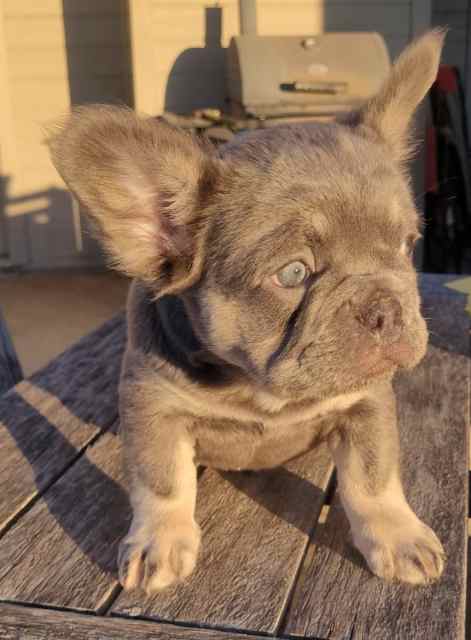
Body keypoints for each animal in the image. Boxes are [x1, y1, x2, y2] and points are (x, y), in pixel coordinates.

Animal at [47, 28, 446, 592]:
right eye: (294, 274)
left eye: (407, 246)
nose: (386, 308)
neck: (253, 386)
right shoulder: (153, 404)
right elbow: (162, 481)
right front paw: (159, 539)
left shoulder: (366, 404)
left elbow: (373, 477)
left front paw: (397, 534)